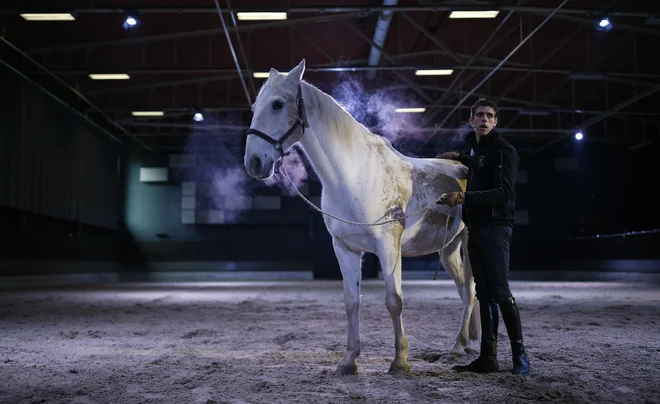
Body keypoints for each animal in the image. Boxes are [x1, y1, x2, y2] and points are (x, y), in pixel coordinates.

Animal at [242, 58, 480, 374]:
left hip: (469, 242)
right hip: (448, 249)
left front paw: (400, 362)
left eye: (278, 104)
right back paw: (468, 343)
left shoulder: (388, 246)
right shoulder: (345, 248)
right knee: (466, 290)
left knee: (470, 291)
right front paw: (348, 360)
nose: (254, 163)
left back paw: (458, 346)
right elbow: (351, 302)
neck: (354, 175)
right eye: (256, 106)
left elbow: (394, 300)